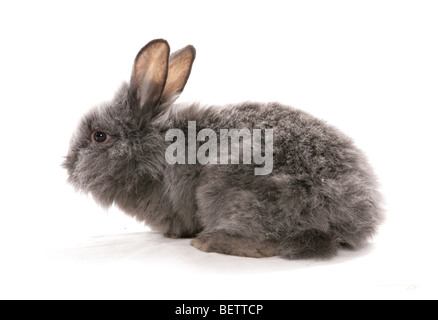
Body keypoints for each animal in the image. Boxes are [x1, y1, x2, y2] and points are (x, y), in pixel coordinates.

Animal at [63, 39, 382, 260]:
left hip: (225, 189)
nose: (68, 166)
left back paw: (207, 241)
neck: (155, 151)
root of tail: (352, 213)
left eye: (99, 136)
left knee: (271, 243)